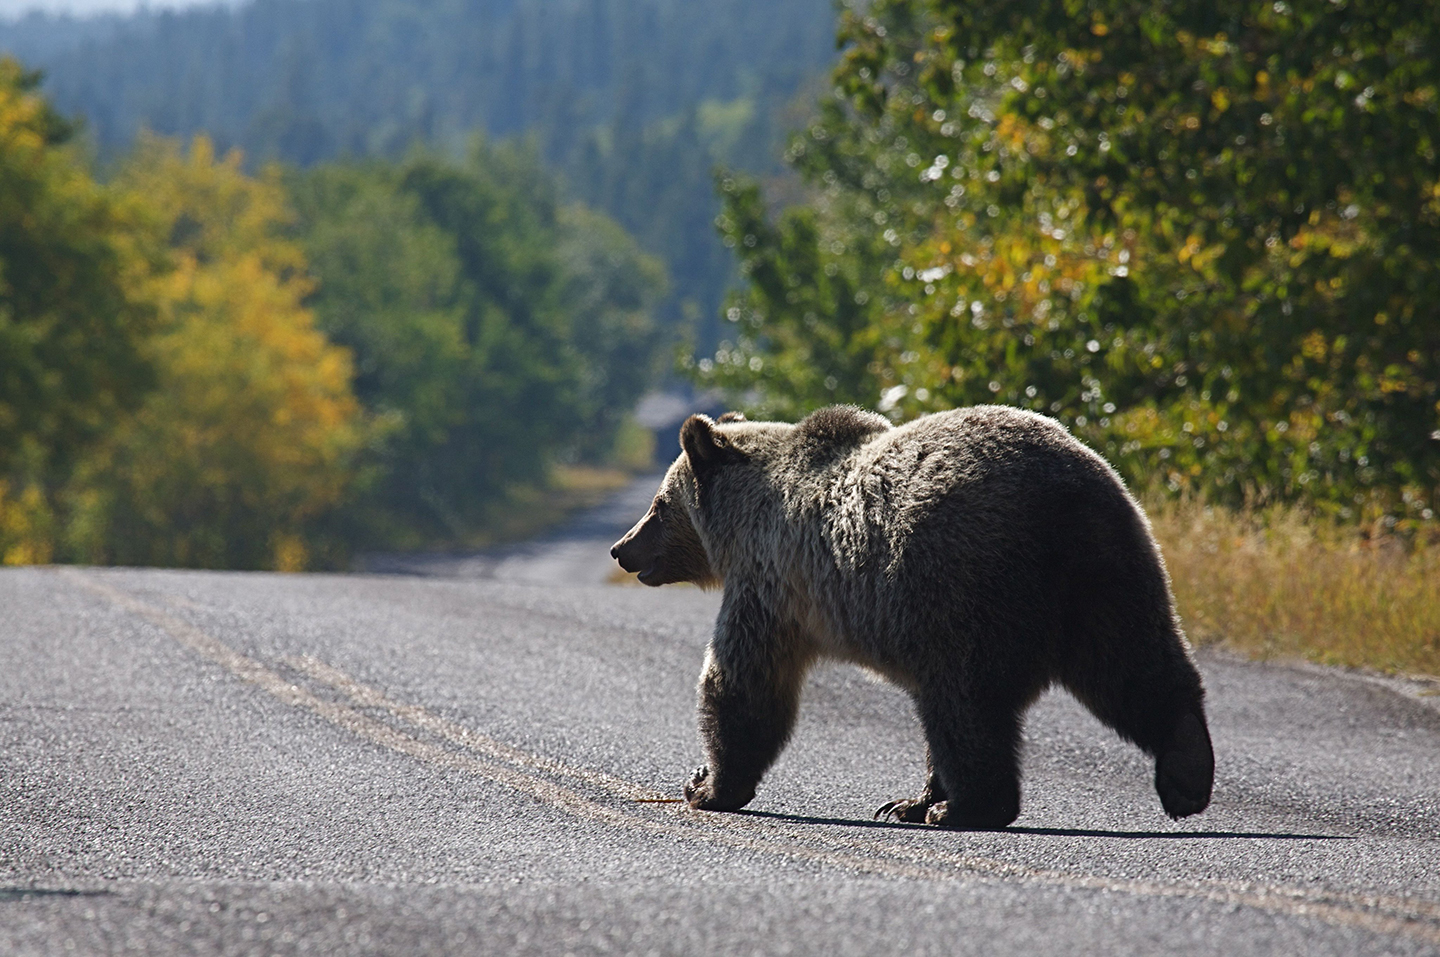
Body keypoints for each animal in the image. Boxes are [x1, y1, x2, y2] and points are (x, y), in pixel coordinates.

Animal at [610, 402, 1215, 828]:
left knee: (965, 705)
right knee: (1133, 666)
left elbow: (742, 684)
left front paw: (707, 785)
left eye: (658, 505)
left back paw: (964, 808)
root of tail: (1062, 499)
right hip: (1110, 570)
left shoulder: (771, 584)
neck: (744, 518)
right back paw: (1187, 772)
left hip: (962, 587)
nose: (621, 549)